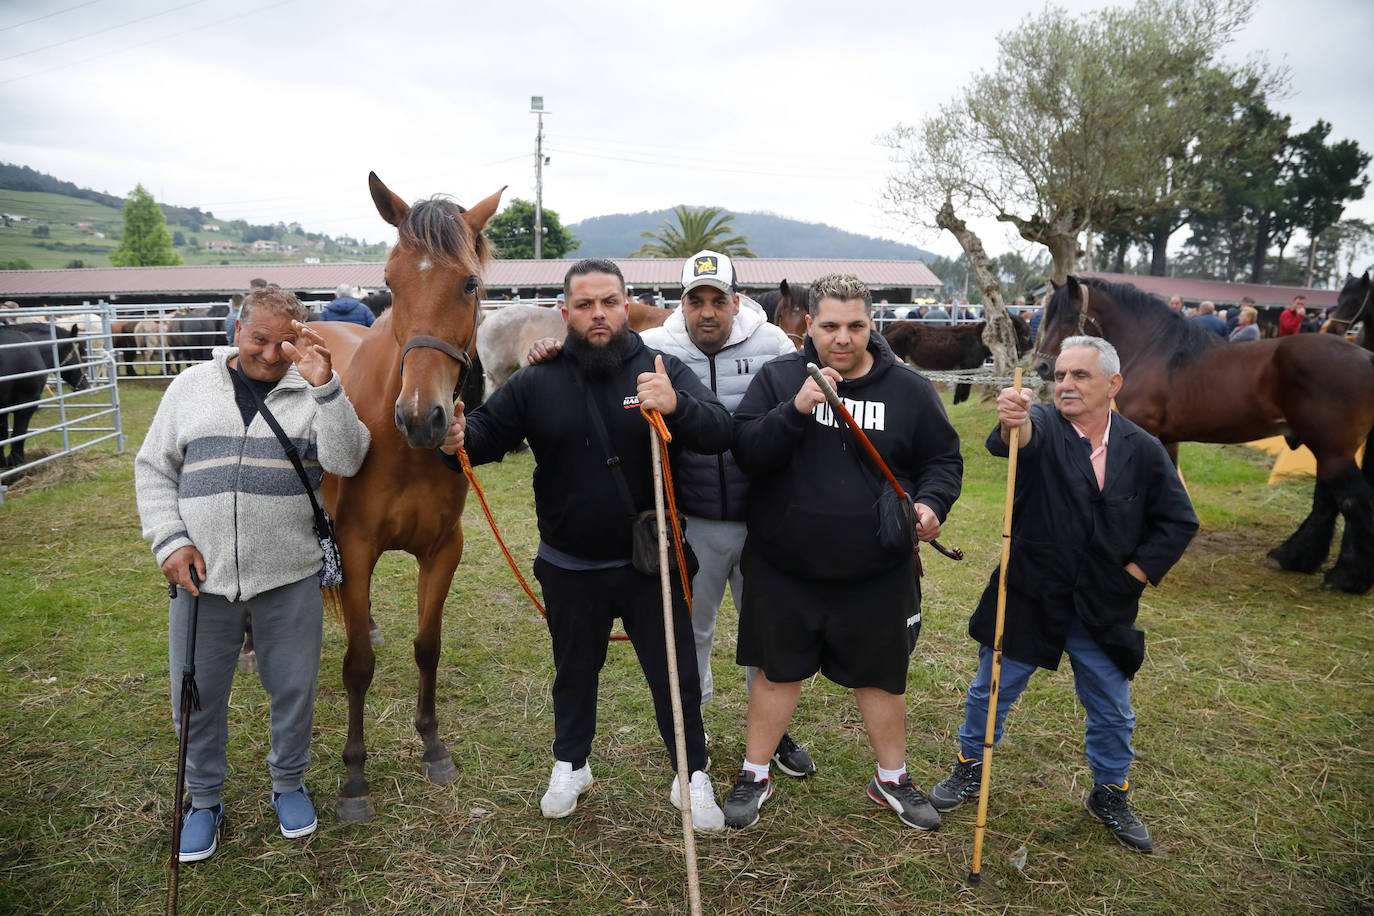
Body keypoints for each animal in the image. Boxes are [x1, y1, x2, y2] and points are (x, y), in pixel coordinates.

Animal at [0, 324, 88, 466]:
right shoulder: (27, 401)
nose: (85, 385)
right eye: (83, 354)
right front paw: (16, 460)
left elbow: (3, 433)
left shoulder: (4, 407)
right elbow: (20, 431)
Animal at [314, 173, 502, 823]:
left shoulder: (443, 550)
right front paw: (354, 777)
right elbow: (357, 668)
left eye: (469, 283)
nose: (423, 418)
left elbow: (427, 647)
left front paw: (432, 745)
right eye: (391, 283)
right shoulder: (355, 546)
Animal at [884, 313, 1033, 403]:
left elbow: (964, 384)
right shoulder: (968, 366)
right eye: (1024, 334)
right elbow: (965, 384)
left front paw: (959, 401)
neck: (980, 338)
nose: (1031, 350)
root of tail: (890, 326)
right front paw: (959, 401)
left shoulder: (966, 367)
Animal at [1033, 276, 1374, 598]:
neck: (1153, 350)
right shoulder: (1166, 440)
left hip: (1333, 451)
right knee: (1327, 501)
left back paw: (1347, 577)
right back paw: (1294, 558)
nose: (1043, 366)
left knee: (1353, 501)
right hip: (1327, 449)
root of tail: (1366, 358)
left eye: (1068, 316)